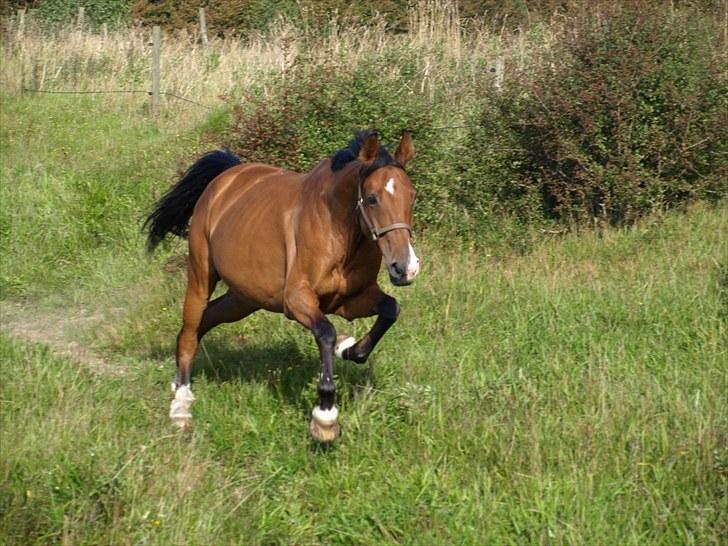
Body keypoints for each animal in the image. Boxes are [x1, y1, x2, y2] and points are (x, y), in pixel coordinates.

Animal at [145, 131, 420, 442]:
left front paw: (347, 348)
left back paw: (179, 383)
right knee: (191, 329)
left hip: (244, 298)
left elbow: (390, 309)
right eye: (372, 198)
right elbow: (326, 332)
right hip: (201, 275)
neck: (338, 230)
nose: (405, 268)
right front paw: (324, 418)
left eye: (412, 196)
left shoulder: (350, 300)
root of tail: (226, 177)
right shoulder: (296, 300)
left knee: (202, 322)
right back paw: (181, 405)